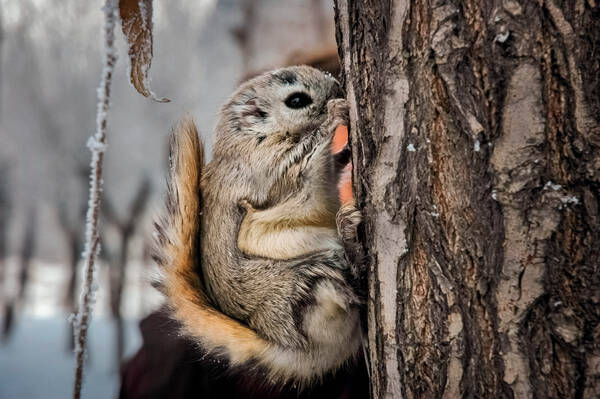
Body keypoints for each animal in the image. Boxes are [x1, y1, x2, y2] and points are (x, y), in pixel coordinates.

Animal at [152, 65, 364, 388]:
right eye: (297, 100)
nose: (339, 88)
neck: (257, 137)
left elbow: (332, 166)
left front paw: (345, 151)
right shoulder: (268, 174)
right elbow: (306, 155)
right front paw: (334, 115)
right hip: (308, 285)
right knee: (344, 284)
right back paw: (349, 239)